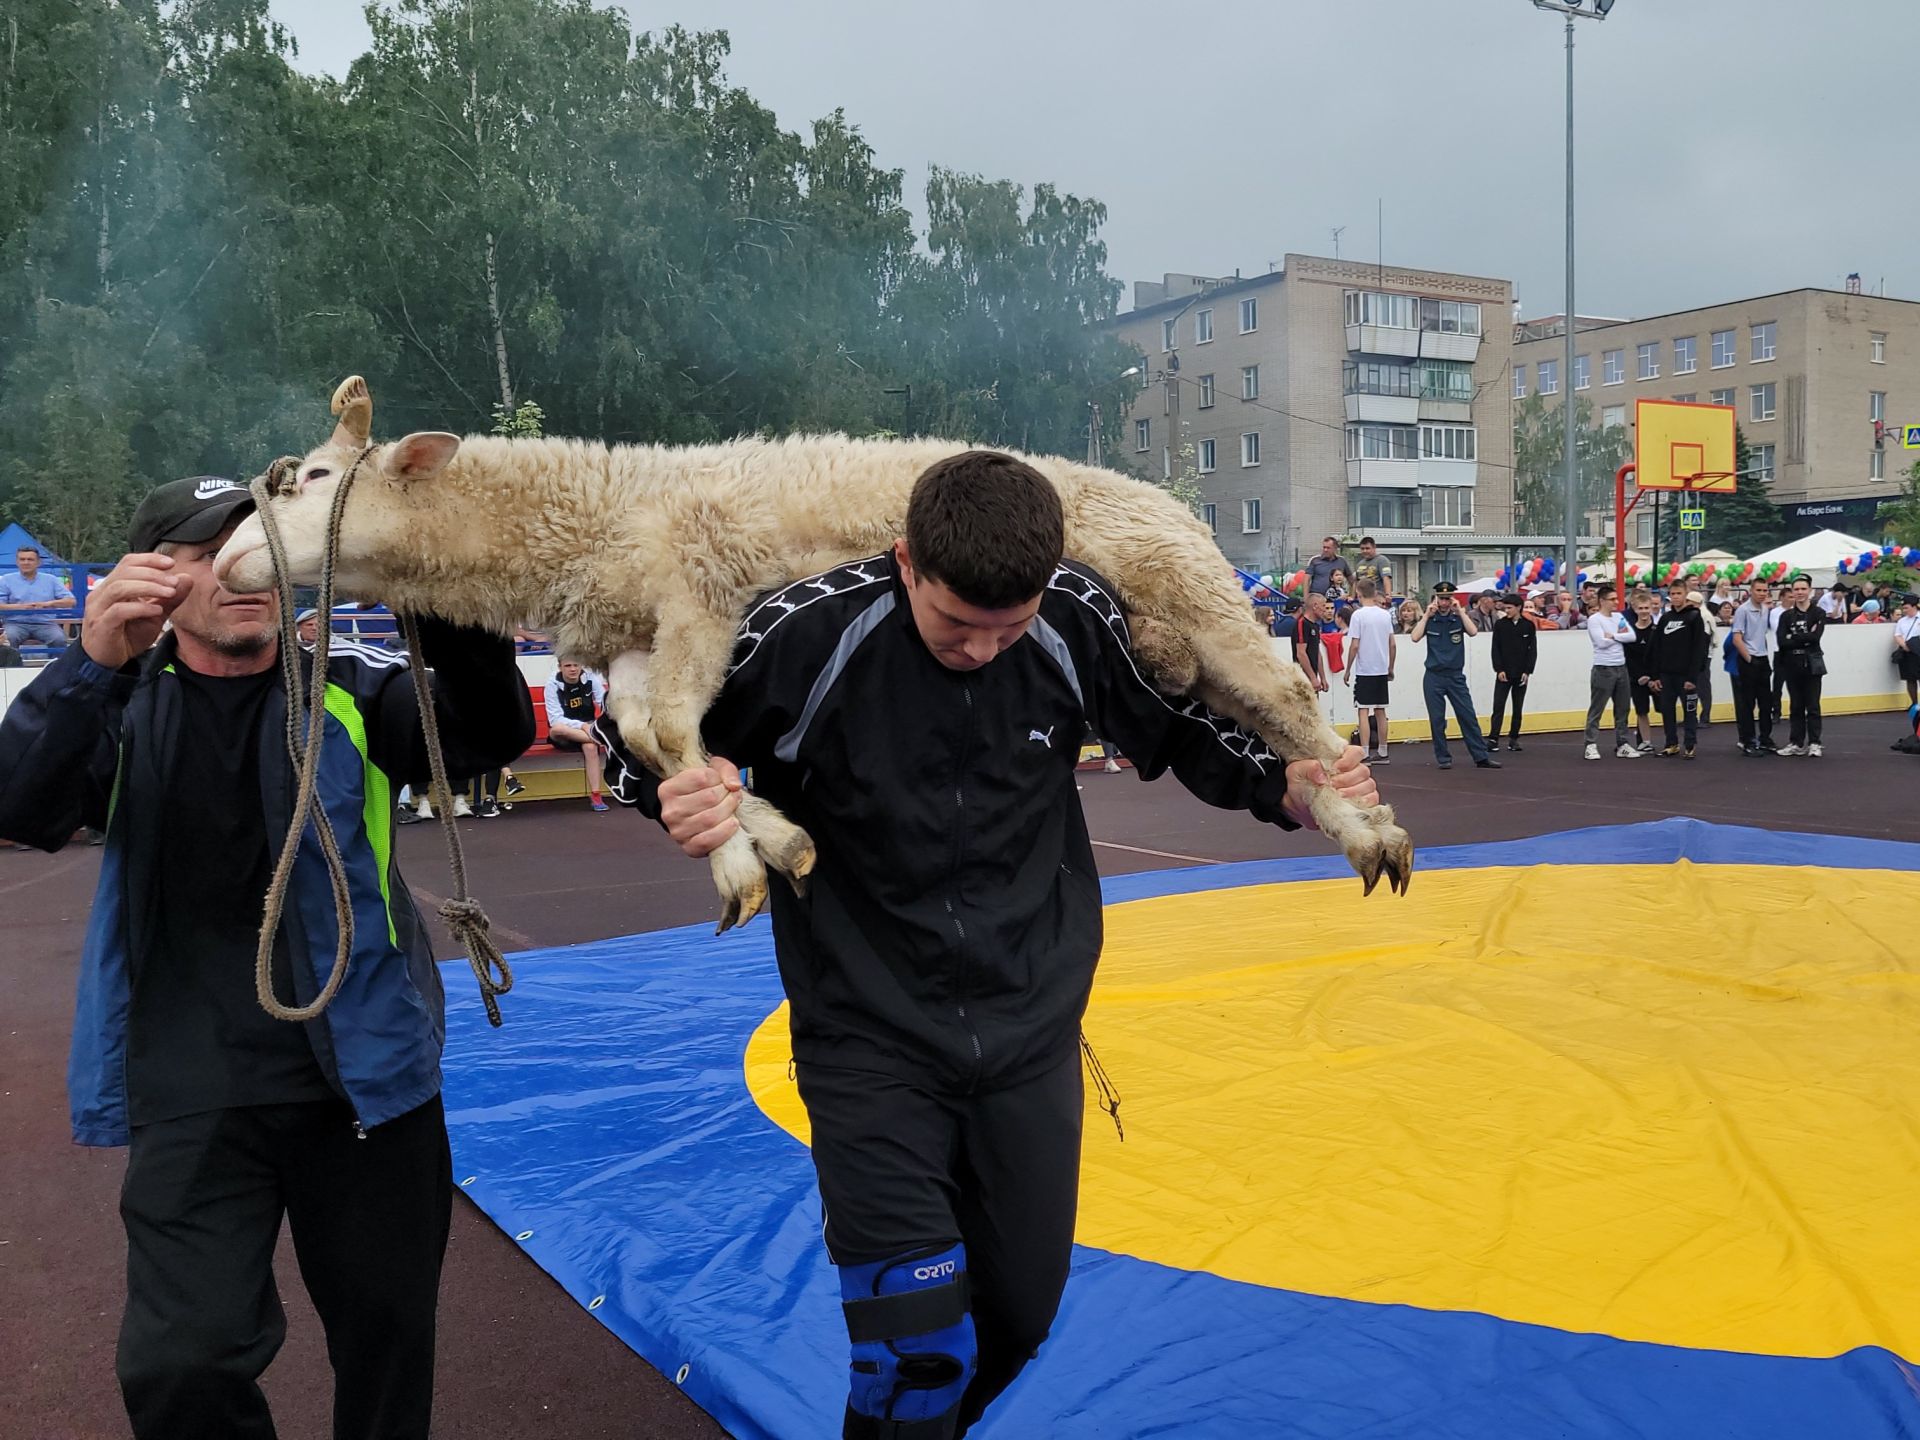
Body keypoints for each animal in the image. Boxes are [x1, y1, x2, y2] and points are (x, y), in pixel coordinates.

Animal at [217, 378, 1413, 929]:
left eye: (310, 481)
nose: (228, 563)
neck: (605, 511)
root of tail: (1177, 508)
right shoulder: (642, 640)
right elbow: (655, 738)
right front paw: (760, 843)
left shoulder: (699, 594)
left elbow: (672, 728)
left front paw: (755, 850)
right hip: (1172, 639)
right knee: (1257, 715)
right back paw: (1342, 811)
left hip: (1201, 597)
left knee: (1290, 695)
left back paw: (1375, 828)